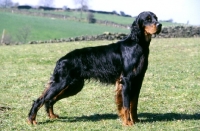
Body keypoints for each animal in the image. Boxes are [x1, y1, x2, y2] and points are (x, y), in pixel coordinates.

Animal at [28, 11, 162, 126]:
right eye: (148, 19)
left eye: (156, 18)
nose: (160, 25)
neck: (137, 44)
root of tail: (61, 59)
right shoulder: (127, 80)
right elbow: (126, 105)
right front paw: (128, 123)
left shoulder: (138, 80)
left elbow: (133, 104)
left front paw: (136, 120)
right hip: (62, 83)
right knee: (40, 100)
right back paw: (31, 120)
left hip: (73, 85)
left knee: (49, 100)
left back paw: (52, 116)